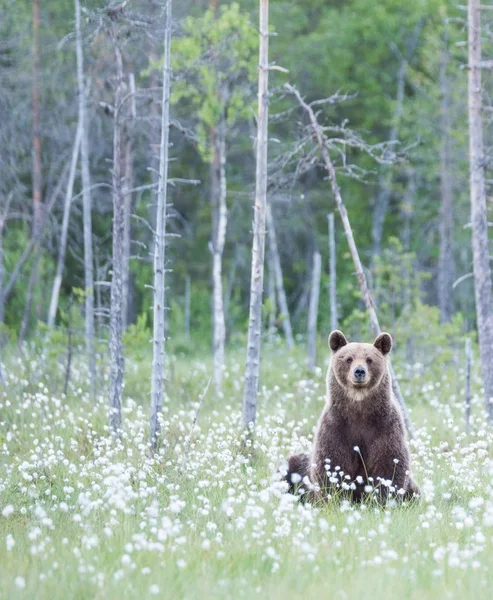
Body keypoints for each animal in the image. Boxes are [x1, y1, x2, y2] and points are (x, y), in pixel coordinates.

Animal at [284, 328, 418, 502]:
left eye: (369, 360)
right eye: (349, 359)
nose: (359, 371)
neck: (359, 409)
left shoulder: (384, 426)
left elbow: (390, 463)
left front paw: (383, 499)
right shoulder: (336, 426)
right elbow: (332, 463)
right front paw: (335, 497)